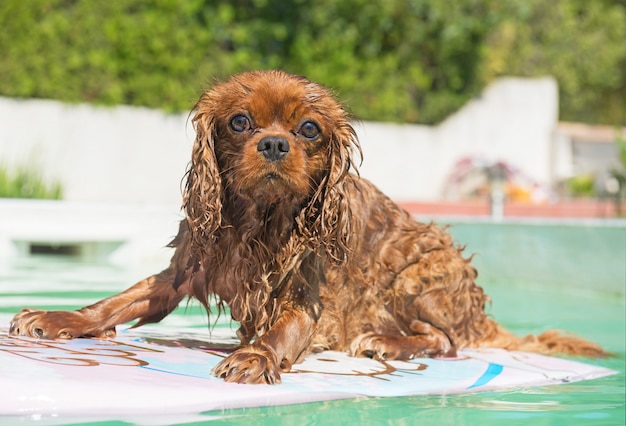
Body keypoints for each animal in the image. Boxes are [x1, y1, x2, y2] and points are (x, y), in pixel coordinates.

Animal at [9, 70, 604, 382]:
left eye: (310, 129)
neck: (260, 221)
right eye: (240, 122)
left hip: (422, 268)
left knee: (447, 340)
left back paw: (387, 342)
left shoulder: (308, 295)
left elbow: (283, 330)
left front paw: (255, 355)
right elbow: (116, 302)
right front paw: (59, 317)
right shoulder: (185, 270)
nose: (275, 143)